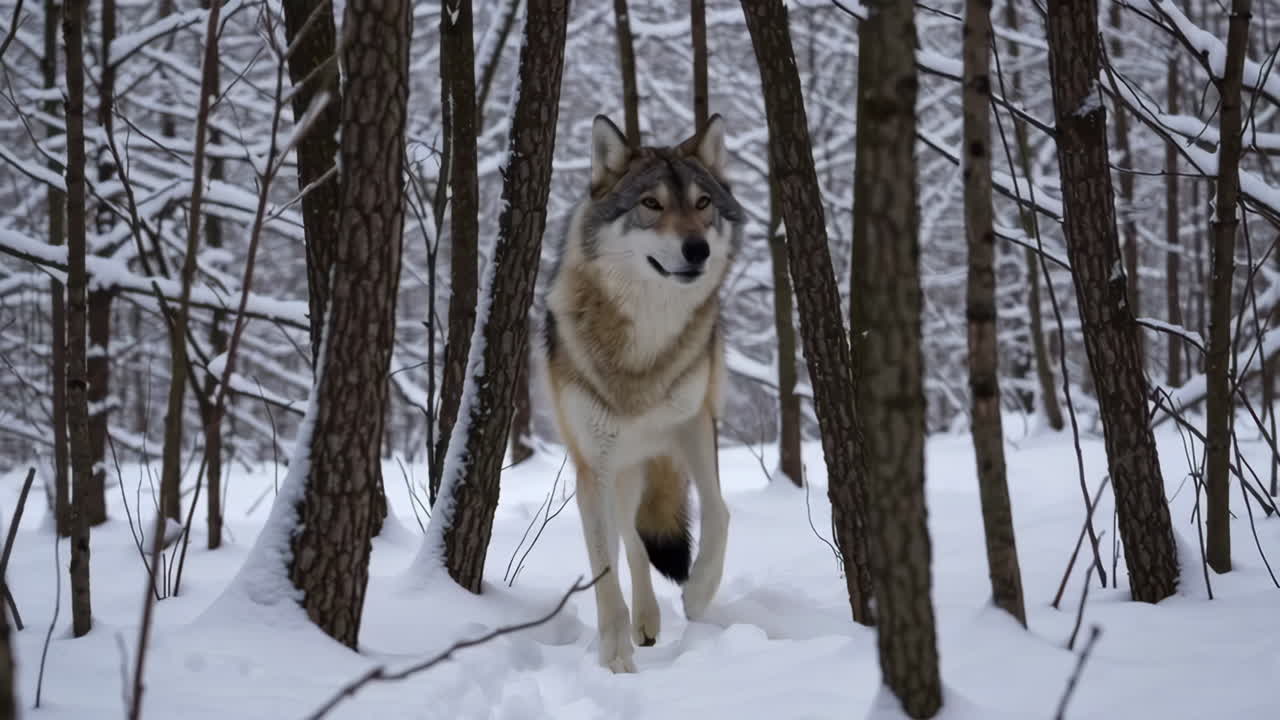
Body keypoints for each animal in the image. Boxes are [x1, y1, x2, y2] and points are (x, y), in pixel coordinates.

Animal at [540, 114, 744, 673]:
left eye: (703, 203)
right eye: (651, 204)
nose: (697, 249)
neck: (644, 352)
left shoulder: (695, 422)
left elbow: (718, 511)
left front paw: (699, 593)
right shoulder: (592, 466)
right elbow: (603, 569)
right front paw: (615, 660)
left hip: (645, 461)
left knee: (637, 535)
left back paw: (651, 620)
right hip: (613, 471)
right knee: (627, 540)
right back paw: (642, 623)